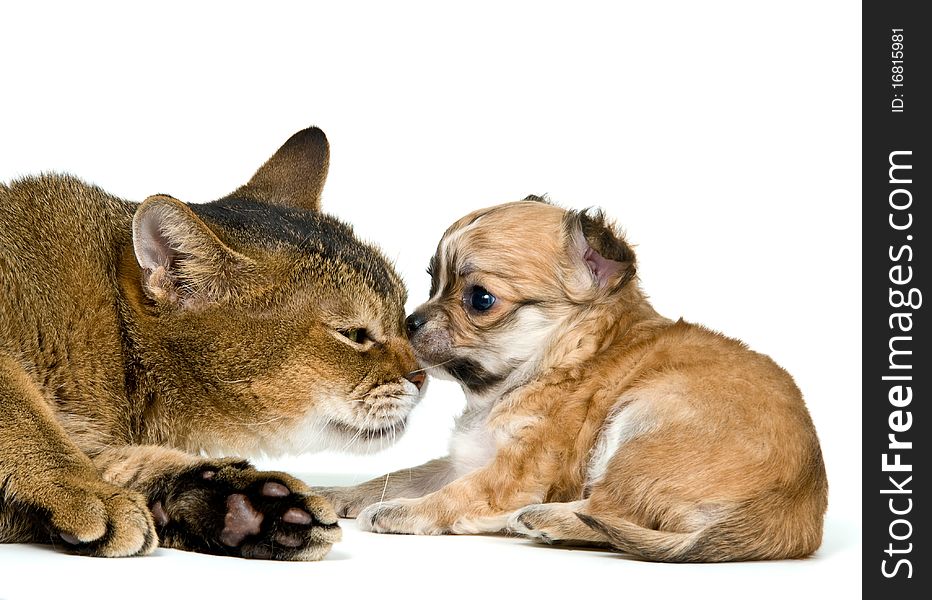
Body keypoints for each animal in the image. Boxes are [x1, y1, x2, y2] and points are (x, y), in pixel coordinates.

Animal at [0, 127, 422, 564]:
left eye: (404, 316)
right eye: (354, 335)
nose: (421, 376)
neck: (115, 340)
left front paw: (236, 501)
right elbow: (27, 414)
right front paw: (88, 491)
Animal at [322, 197, 832, 564]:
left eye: (480, 299)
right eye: (432, 284)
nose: (409, 322)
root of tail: (793, 512)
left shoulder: (514, 472)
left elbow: (458, 494)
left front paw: (402, 510)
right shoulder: (468, 457)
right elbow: (403, 474)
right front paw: (341, 495)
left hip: (639, 424)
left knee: (606, 511)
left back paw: (542, 520)